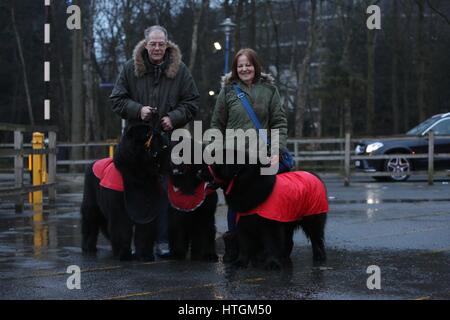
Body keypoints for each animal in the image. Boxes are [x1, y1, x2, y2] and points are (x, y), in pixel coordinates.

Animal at [80, 124, 170, 262]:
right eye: (148, 134)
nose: (163, 135)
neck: (139, 174)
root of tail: (92, 163)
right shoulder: (119, 211)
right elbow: (122, 229)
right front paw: (124, 254)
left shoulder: (148, 208)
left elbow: (144, 232)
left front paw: (145, 255)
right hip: (91, 205)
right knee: (90, 223)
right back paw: (88, 247)